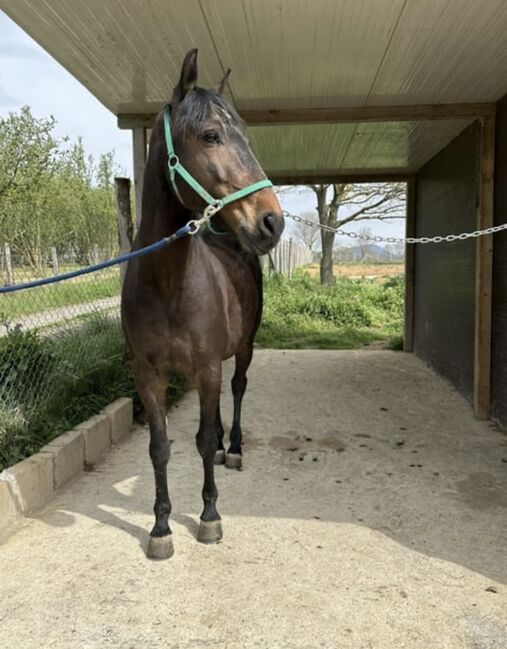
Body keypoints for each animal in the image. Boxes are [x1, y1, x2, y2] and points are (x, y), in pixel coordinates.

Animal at [121, 49, 284, 556]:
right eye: (212, 135)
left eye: (245, 134)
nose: (272, 222)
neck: (168, 286)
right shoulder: (148, 376)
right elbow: (161, 448)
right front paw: (160, 526)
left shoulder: (208, 367)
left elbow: (204, 437)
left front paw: (210, 516)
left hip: (244, 348)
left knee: (237, 391)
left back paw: (234, 448)